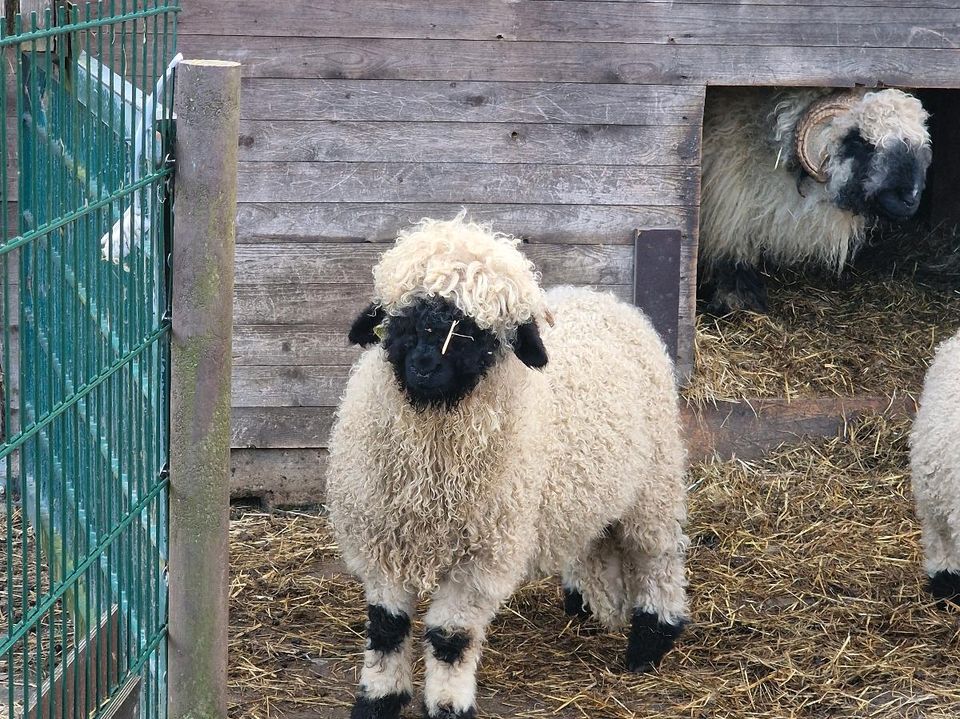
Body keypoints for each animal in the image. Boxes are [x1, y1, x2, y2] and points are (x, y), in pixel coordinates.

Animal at [326, 214, 688, 719]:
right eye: (400, 320)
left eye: (475, 333)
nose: (424, 367)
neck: (430, 466)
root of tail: (602, 298)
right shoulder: (381, 542)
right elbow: (386, 628)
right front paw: (379, 700)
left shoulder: (481, 559)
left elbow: (450, 638)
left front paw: (449, 706)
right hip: (589, 489)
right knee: (596, 539)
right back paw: (590, 603)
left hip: (655, 482)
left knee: (659, 558)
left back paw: (651, 639)